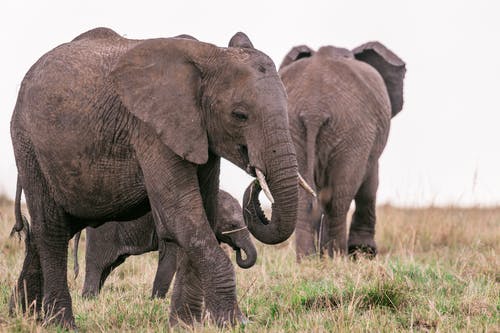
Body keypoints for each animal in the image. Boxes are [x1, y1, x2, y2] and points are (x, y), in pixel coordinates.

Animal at [73, 189, 258, 298]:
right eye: (232, 225)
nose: (236, 249)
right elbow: (170, 257)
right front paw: (156, 301)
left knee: (109, 266)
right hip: (103, 233)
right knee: (98, 264)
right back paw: (89, 299)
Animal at [276, 41, 408, 260]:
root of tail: (313, 110)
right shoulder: (366, 141)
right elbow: (370, 185)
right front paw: (364, 253)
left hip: (292, 130)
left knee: (305, 199)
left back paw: (307, 260)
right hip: (353, 132)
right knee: (338, 199)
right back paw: (337, 257)